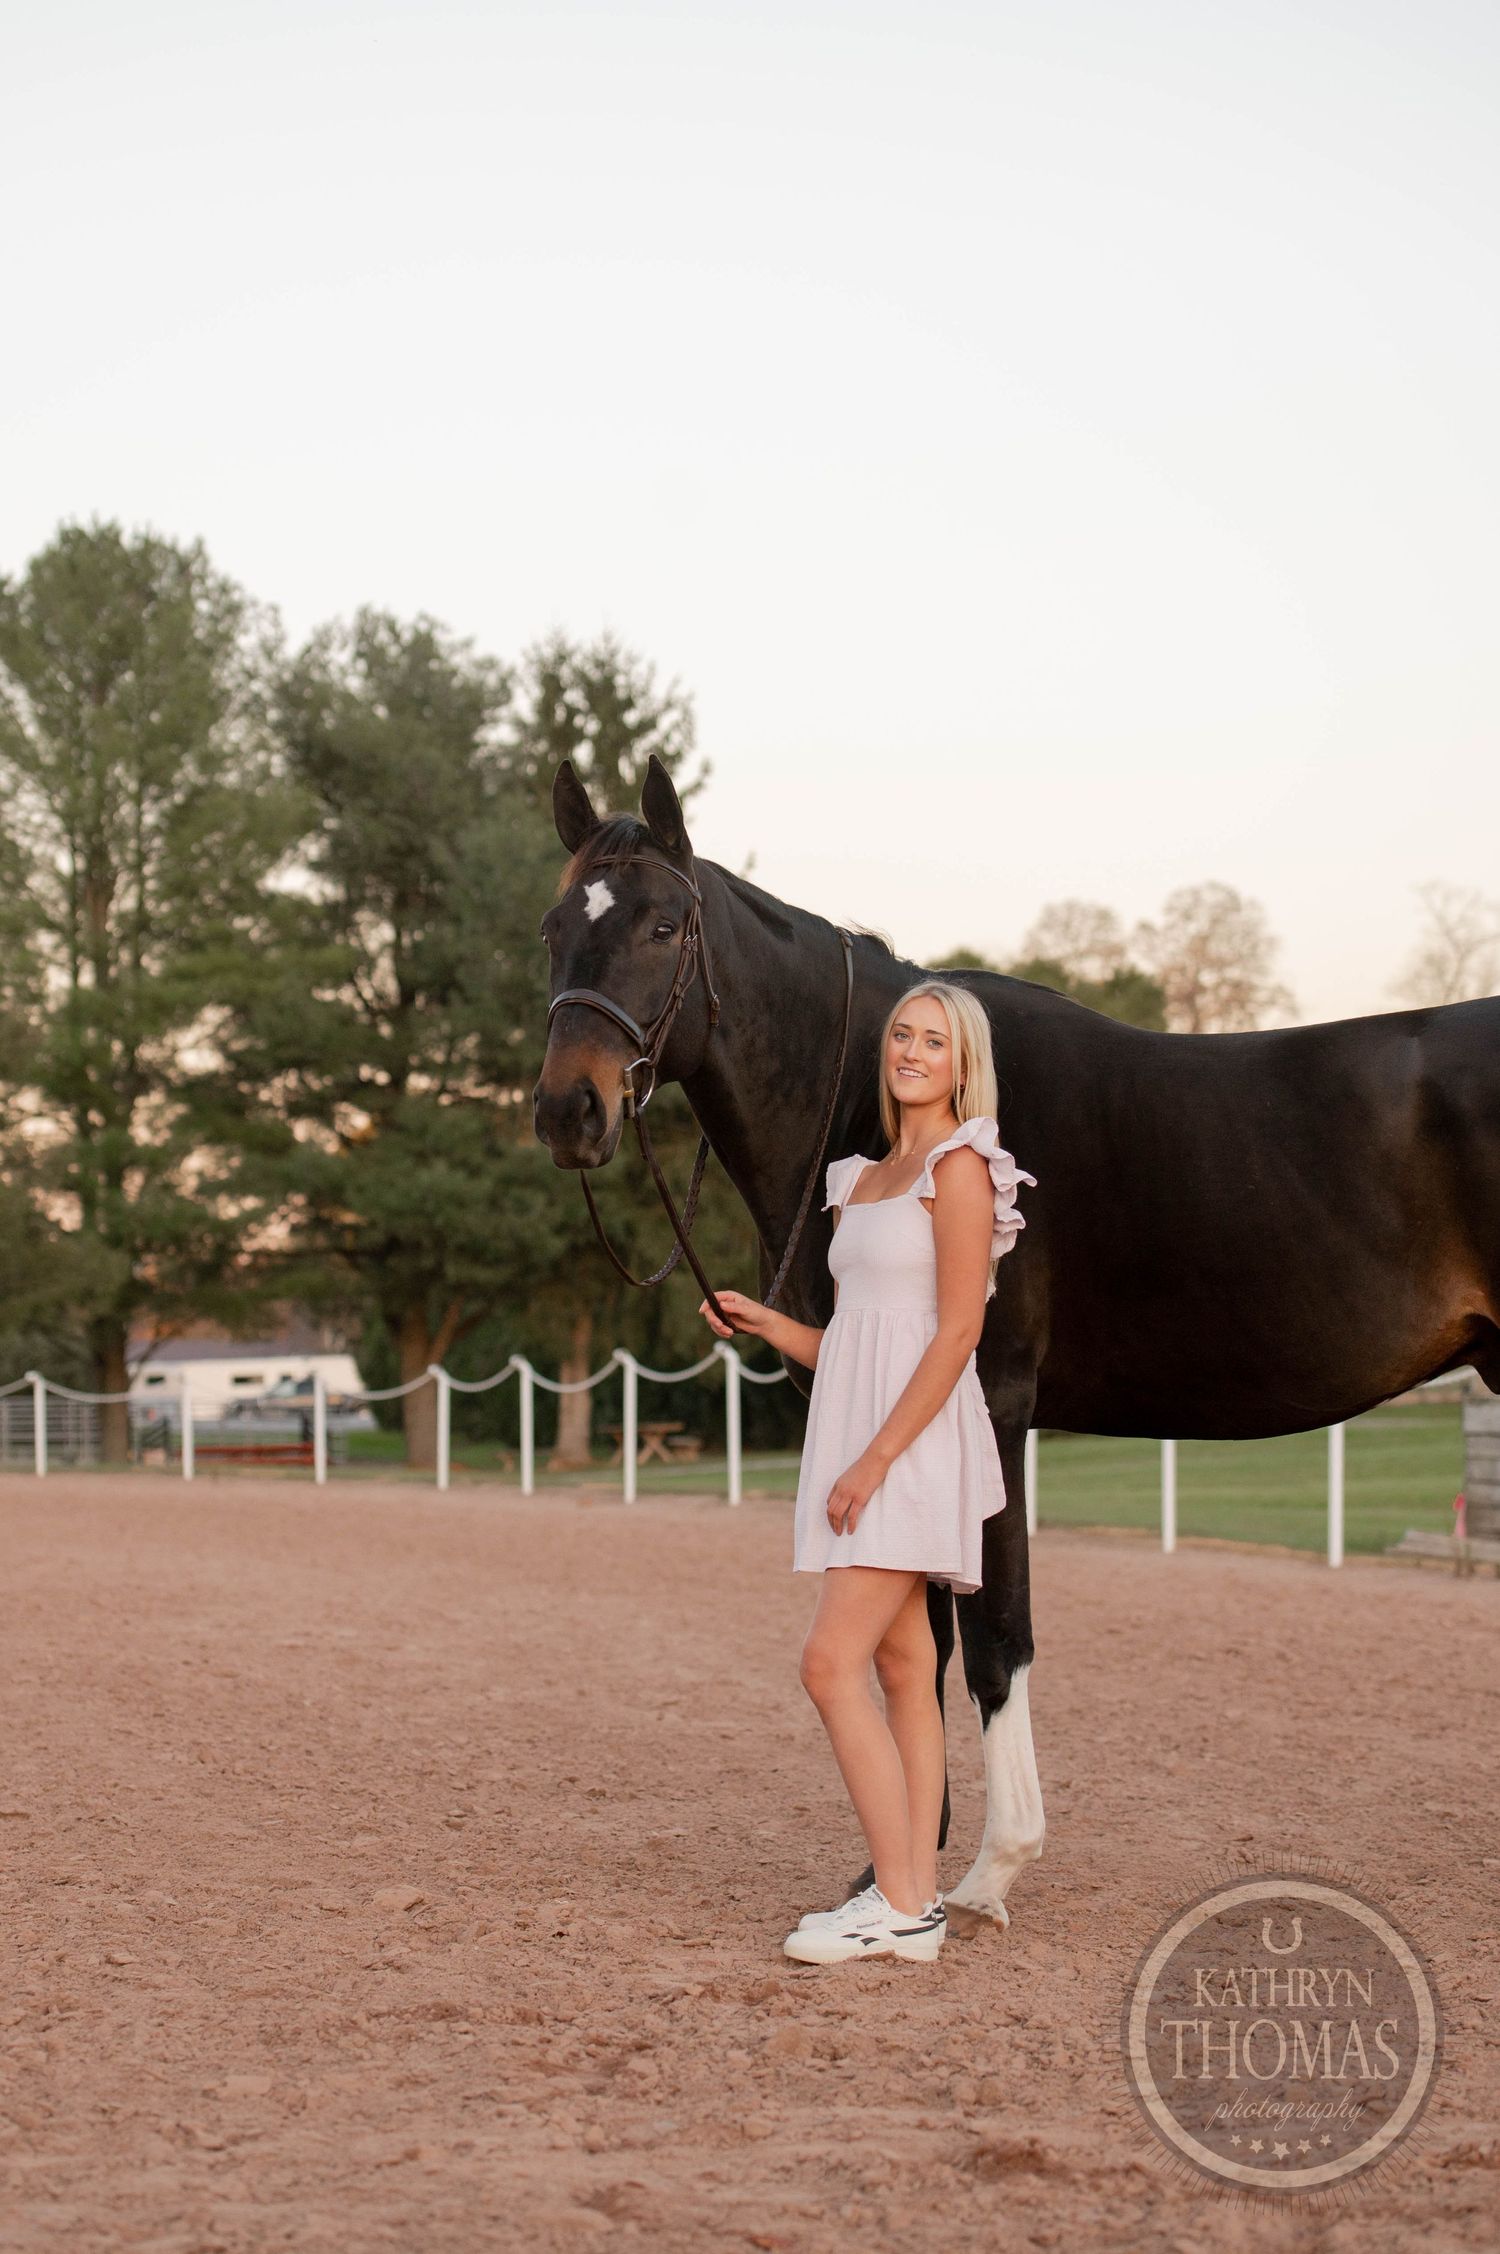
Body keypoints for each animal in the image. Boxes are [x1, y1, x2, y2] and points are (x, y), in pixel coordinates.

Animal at [532, 752, 1500, 1926]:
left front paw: (993, 1868)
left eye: (666, 926)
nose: (568, 1110)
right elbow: (921, 1638)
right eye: (552, 929)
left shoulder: (984, 1405)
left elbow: (996, 1638)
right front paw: (895, 1865)